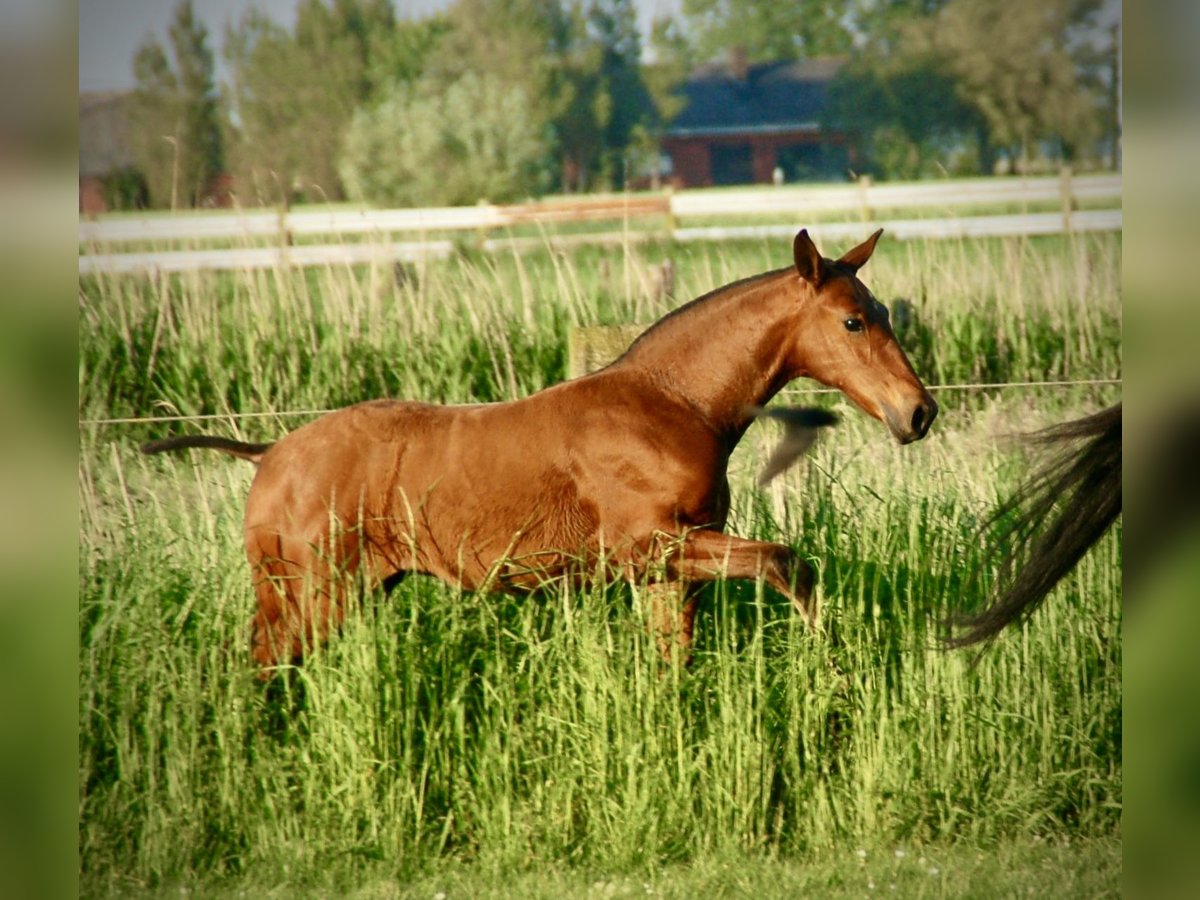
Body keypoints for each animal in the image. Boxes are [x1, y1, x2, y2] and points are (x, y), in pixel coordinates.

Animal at [142, 229, 936, 672]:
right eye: (854, 321)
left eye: (883, 313)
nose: (919, 412)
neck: (672, 407)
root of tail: (268, 454)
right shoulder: (650, 547)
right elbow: (788, 563)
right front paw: (830, 662)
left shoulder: (670, 571)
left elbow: (674, 664)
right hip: (309, 599)